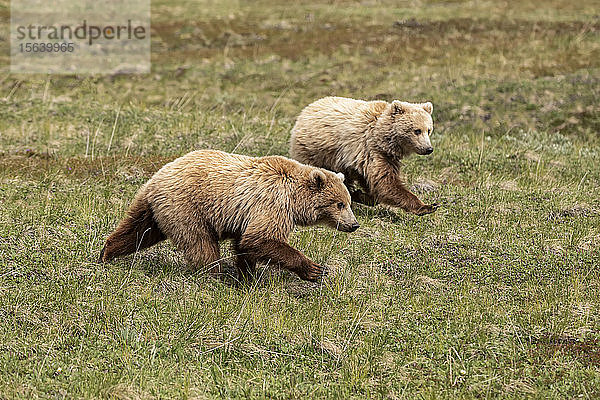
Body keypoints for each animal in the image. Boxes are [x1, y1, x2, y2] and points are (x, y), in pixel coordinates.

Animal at [98, 148, 358, 282]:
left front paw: (248, 277)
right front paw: (314, 269)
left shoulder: (248, 215)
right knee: (201, 244)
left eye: (348, 202)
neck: (294, 199)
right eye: (339, 204)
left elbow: (245, 245)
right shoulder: (272, 204)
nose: (354, 224)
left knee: (137, 231)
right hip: (187, 208)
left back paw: (106, 253)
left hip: (154, 208)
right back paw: (214, 275)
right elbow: (261, 239)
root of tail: (156, 178)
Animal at [290, 96, 436, 216]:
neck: (384, 138)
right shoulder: (372, 150)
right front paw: (427, 206)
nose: (429, 149)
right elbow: (385, 183)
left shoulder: (379, 157)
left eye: (429, 130)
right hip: (316, 153)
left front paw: (360, 195)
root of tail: (306, 109)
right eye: (417, 130)